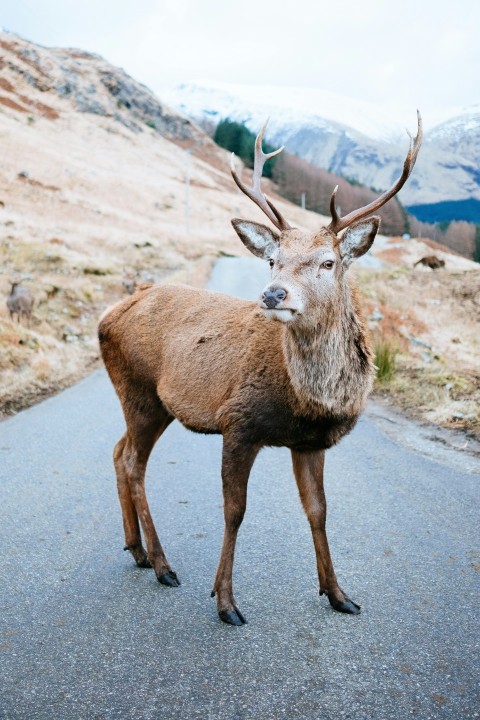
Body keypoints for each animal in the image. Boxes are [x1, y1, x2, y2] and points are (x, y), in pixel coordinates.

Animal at [99, 113, 422, 626]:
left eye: (328, 262)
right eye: (273, 260)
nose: (273, 294)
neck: (306, 400)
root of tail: (106, 317)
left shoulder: (310, 442)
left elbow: (318, 511)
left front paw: (339, 594)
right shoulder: (239, 422)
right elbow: (235, 511)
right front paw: (226, 601)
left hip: (150, 401)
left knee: (117, 450)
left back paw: (138, 550)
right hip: (139, 389)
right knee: (133, 461)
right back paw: (164, 565)